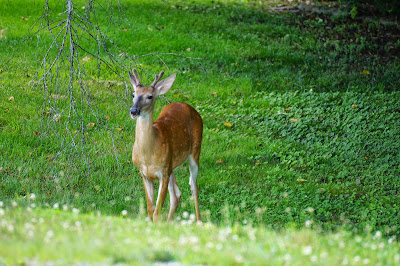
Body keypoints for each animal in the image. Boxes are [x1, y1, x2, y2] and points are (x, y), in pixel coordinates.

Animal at [129, 69, 203, 222]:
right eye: (133, 94)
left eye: (150, 96)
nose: (134, 111)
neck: (148, 154)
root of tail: (189, 107)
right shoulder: (144, 173)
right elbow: (150, 210)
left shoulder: (163, 173)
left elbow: (157, 212)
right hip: (171, 165)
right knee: (176, 195)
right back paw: (169, 222)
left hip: (195, 152)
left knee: (193, 188)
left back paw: (199, 221)